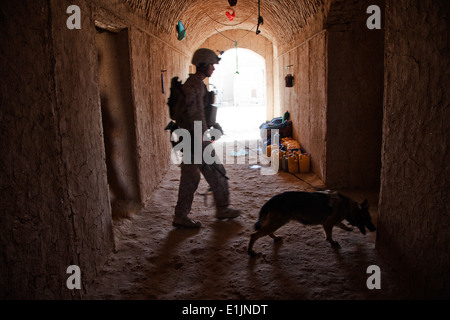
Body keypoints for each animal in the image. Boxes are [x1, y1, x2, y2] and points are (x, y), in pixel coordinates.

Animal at [246, 191, 376, 256]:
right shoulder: (328, 224)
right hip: (278, 222)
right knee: (254, 235)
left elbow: (341, 225)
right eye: (367, 218)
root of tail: (271, 201)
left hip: (277, 222)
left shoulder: (333, 222)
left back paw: (275, 237)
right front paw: (332, 242)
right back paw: (250, 252)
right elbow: (330, 235)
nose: (374, 229)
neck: (349, 207)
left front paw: (348, 229)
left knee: (267, 232)